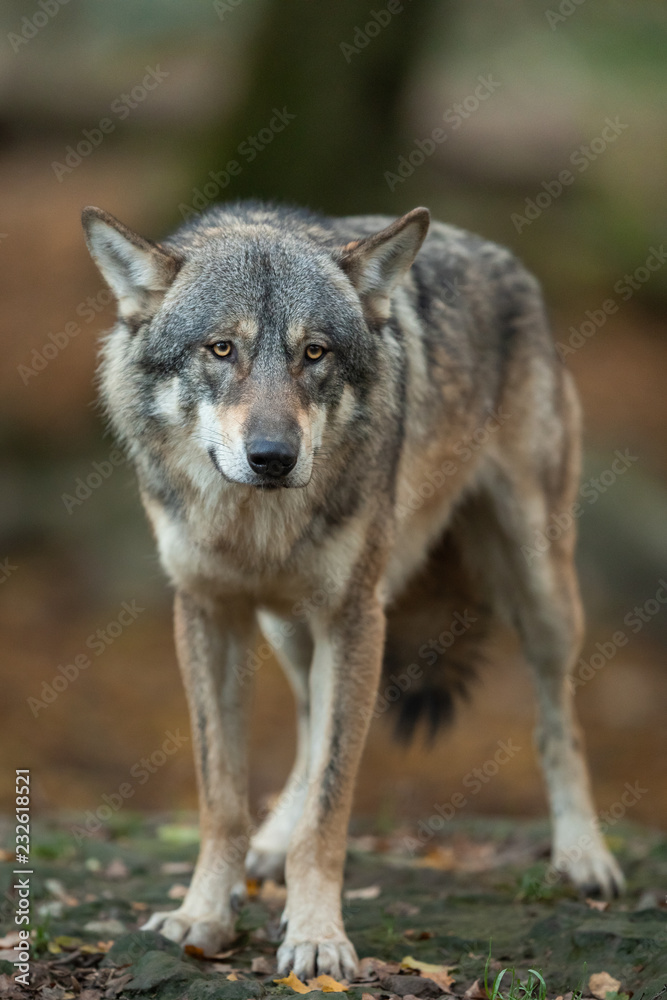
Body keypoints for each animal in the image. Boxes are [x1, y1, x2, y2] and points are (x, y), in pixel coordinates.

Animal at [82, 200, 623, 980]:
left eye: (315, 353)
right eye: (221, 349)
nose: (272, 457)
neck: (255, 526)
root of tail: (507, 261)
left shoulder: (354, 617)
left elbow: (331, 807)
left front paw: (316, 935)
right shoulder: (209, 613)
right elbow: (223, 798)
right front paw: (203, 914)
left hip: (541, 589)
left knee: (559, 720)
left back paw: (584, 856)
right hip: (290, 629)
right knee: (310, 725)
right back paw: (269, 845)